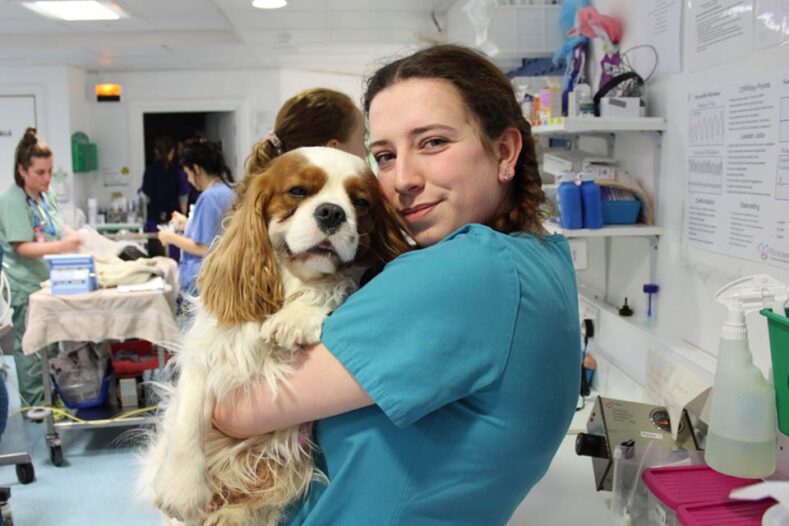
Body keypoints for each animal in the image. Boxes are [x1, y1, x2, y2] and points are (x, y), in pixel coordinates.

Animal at [141, 146, 410, 524]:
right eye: (297, 191)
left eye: (360, 202)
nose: (332, 212)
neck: (293, 279)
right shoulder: (205, 352)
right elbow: (188, 416)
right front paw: (181, 487)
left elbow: (338, 283)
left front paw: (296, 317)